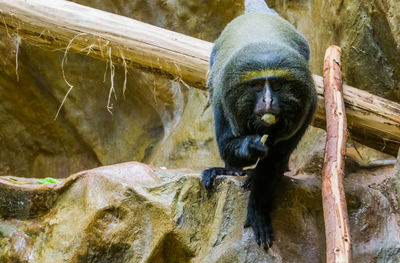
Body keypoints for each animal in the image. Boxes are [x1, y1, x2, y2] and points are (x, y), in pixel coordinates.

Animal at [202, 0, 318, 252]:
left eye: (276, 85)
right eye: (256, 86)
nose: (268, 100)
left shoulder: (307, 106)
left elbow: (273, 162)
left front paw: (257, 210)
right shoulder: (222, 101)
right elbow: (227, 146)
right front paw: (250, 147)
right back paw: (230, 170)